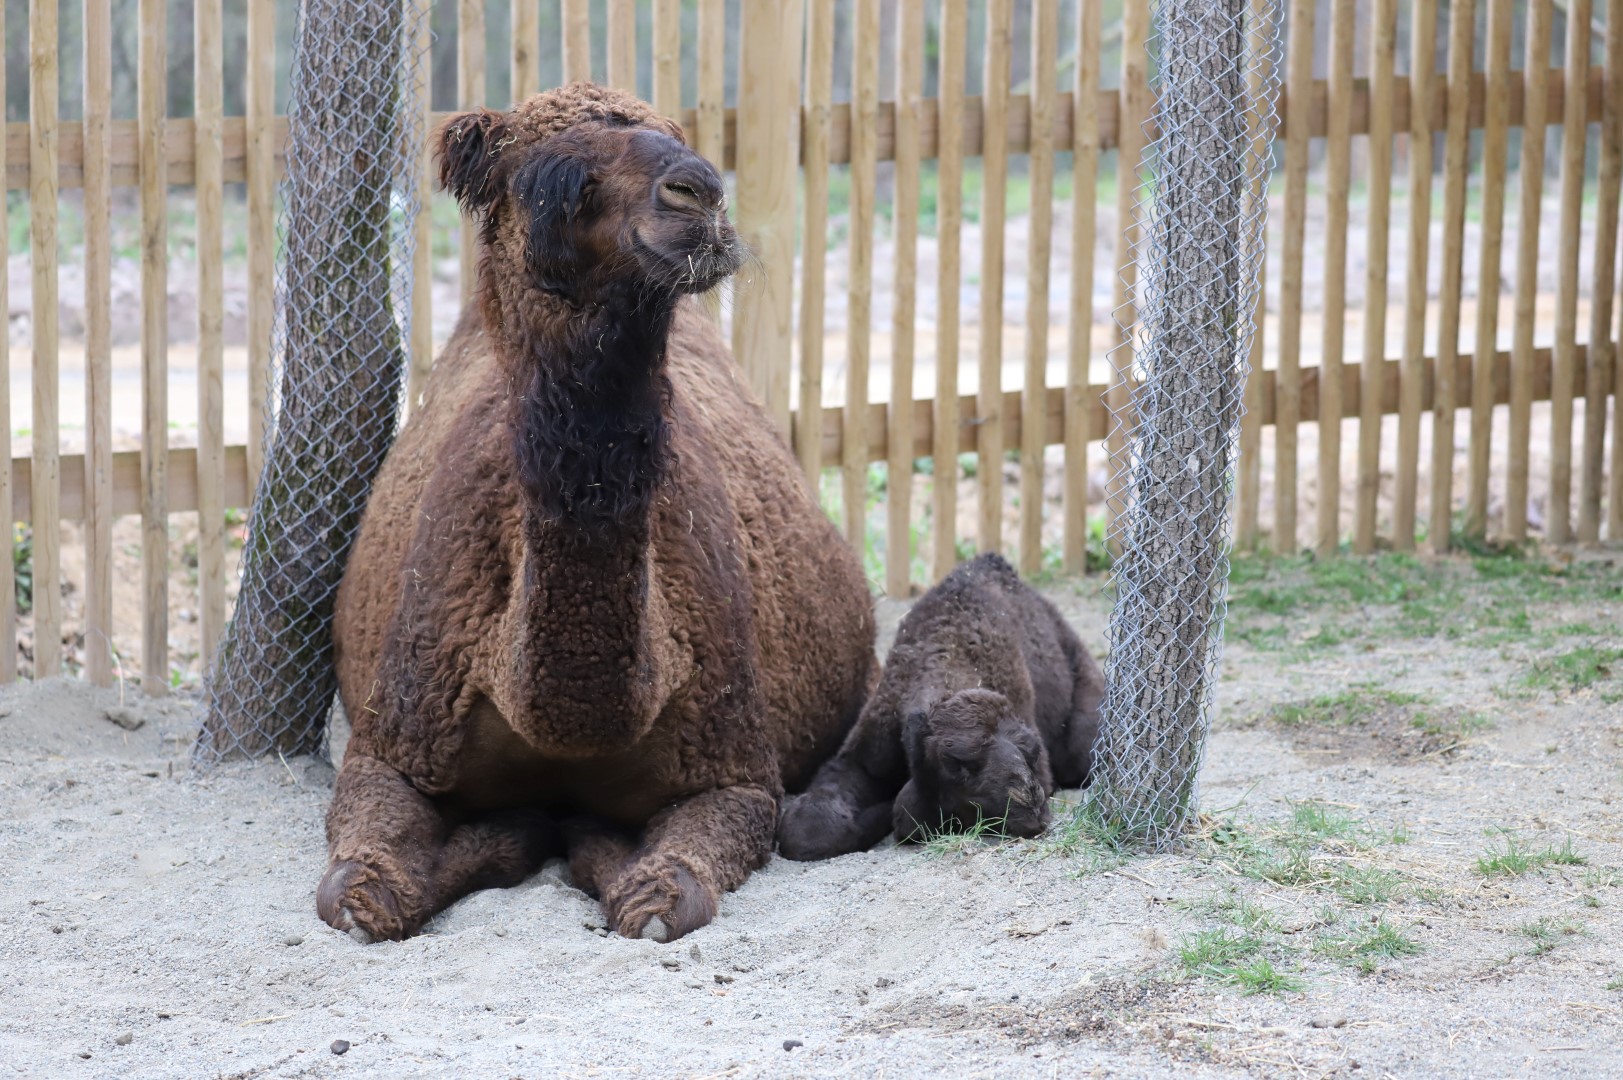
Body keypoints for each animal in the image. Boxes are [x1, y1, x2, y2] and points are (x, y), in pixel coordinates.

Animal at [316, 84, 876, 941]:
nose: (698, 196)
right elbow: (353, 895)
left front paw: (579, 837)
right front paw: (520, 829)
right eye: (554, 176)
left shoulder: (736, 775)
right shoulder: (390, 748)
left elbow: (662, 901)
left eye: (675, 135)